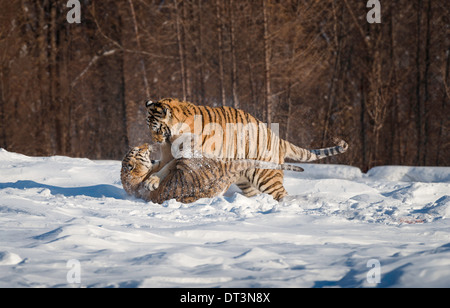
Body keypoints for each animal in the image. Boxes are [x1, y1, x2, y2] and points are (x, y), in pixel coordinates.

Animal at [144, 97, 348, 201]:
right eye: (149, 127)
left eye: (157, 128)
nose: (155, 142)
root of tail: (278, 139)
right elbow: (164, 166)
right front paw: (151, 179)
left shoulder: (191, 155)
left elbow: (168, 167)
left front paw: (151, 181)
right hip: (246, 180)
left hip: (266, 175)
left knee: (282, 194)